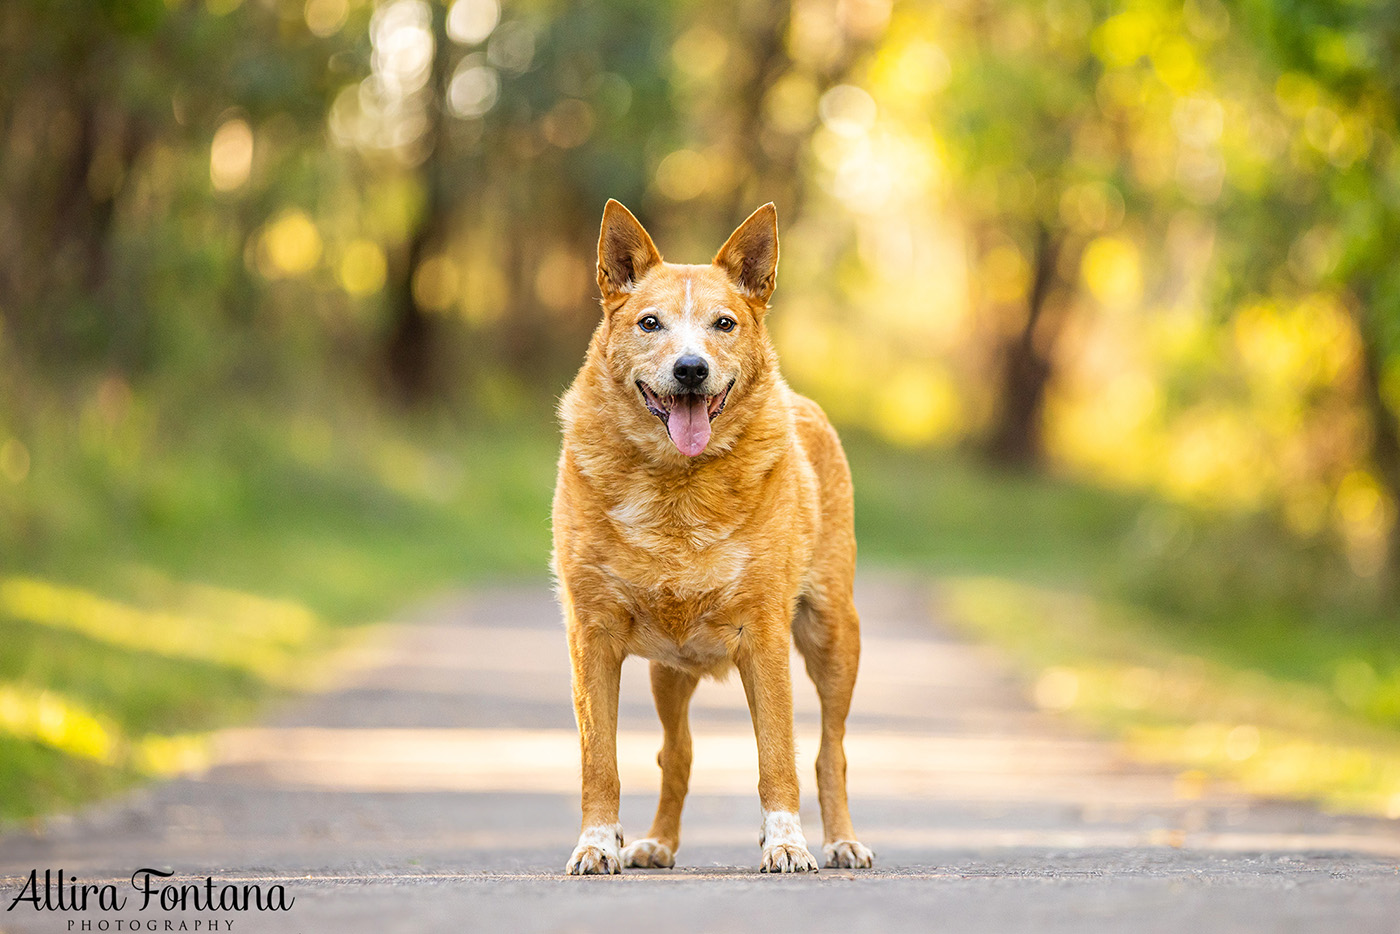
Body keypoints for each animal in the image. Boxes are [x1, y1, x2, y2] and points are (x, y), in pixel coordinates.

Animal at [548, 198, 868, 879]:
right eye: (649, 323)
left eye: (724, 323)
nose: (690, 369)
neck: (678, 485)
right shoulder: (592, 636)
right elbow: (600, 761)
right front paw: (597, 844)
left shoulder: (764, 635)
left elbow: (779, 757)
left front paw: (787, 844)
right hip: (668, 673)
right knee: (678, 753)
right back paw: (657, 843)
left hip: (832, 633)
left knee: (830, 750)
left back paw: (842, 841)